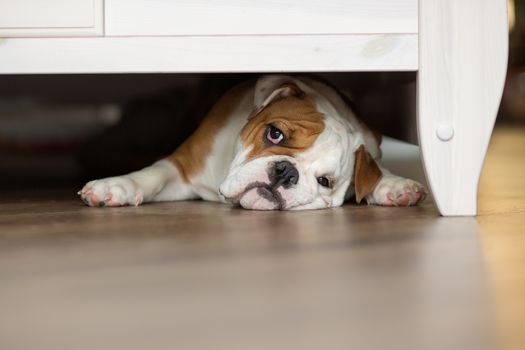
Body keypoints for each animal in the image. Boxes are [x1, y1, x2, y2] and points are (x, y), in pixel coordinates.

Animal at [78, 74, 426, 211]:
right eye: (275, 134)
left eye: (325, 181)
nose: (286, 172)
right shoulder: (183, 167)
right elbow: (152, 175)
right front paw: (114, 186)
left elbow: (373, 168)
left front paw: (392, 185)